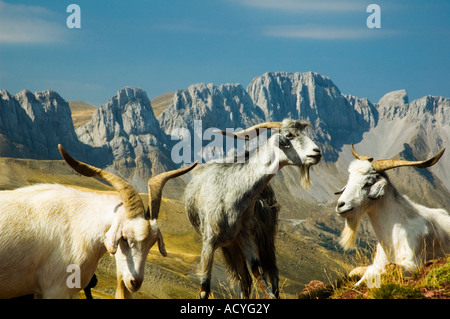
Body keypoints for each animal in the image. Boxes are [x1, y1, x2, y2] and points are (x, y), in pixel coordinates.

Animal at [185, 120, 322, 300]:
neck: (231, 193)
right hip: (231, 245)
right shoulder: (209, 241)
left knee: (269, 272)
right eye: (289, 135)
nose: (317, 152)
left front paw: (271, 296)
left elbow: (257, 268)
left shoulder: (245, 233)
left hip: (264, 237)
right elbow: (204, 287)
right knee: (245, 279)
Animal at [336, 145, 448, 288]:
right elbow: (366, 274)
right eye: (350, 179)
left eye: (368, 183)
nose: (340, 205)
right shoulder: (376, 263)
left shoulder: (413, 264)